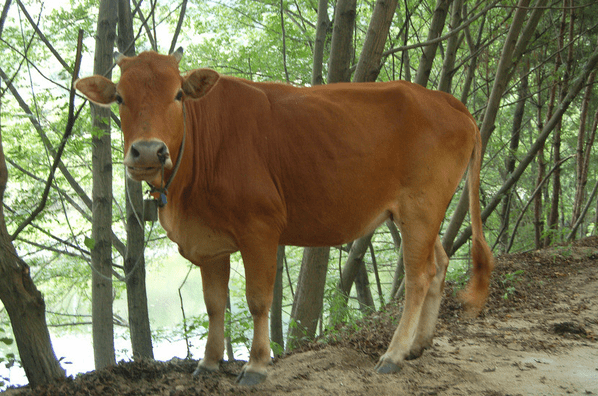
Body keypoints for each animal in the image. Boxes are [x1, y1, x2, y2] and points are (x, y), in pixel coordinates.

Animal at [76, 48, 496, 384]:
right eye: (119, 97)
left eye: (178, 94)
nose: (148, 152)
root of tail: (441, 98)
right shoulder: (210, 242)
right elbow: (214, 304)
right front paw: (208, 363)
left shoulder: (260, 228)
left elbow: (258, 300)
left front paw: (256, 365)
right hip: (415, 213)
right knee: (439, 263)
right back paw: (418, 345)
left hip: (420, 206)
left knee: (419, 275)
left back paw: (393, 353)